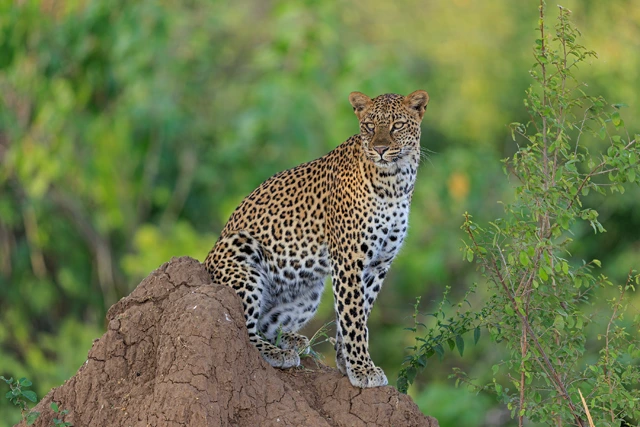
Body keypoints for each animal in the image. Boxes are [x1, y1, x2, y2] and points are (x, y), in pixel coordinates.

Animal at [204, 90, 429, 388]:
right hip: (242, 251)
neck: (395, 181)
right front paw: (362, 369)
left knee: (265, 324)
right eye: (370, 126)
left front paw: (347, 363)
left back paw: (292, 340)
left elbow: (359, 313)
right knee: (244, 329)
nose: (380, 149)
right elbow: (353, 317)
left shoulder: (379, 264)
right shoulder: (348, 259)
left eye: (398, 125)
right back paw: (276, 353)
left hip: (309, 294)